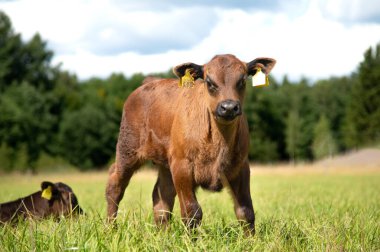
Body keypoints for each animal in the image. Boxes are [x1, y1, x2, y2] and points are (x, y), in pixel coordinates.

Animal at [105, 54, 274, 233]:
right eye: (209, 82)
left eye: (242, 80)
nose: (228, 107)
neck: (219, 143)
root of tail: (148, 83)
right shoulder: (182, 165)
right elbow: (192, 211)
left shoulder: (241, 166)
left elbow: (245, 211)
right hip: (127, 150)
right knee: (115, 185)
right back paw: (110, 228)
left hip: (165, 163)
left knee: (161, 196)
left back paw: (163, 234)